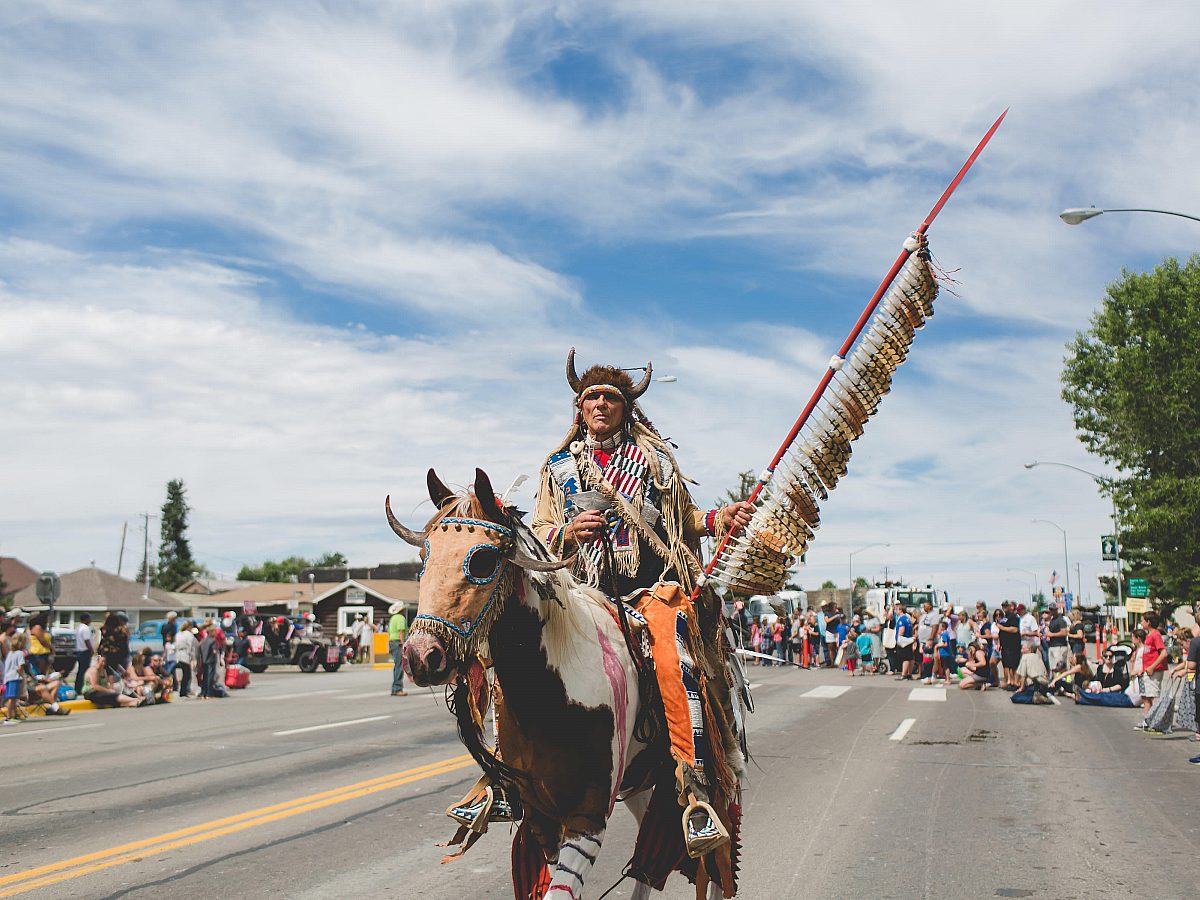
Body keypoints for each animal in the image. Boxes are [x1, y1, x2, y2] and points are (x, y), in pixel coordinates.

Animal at [393, 472, 729, 900]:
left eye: (483, 560)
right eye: (425, 558)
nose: (421, 655)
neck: (553, 698)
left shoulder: (588, 814)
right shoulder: (542, 818)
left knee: (712, 862)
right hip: (640, 782)